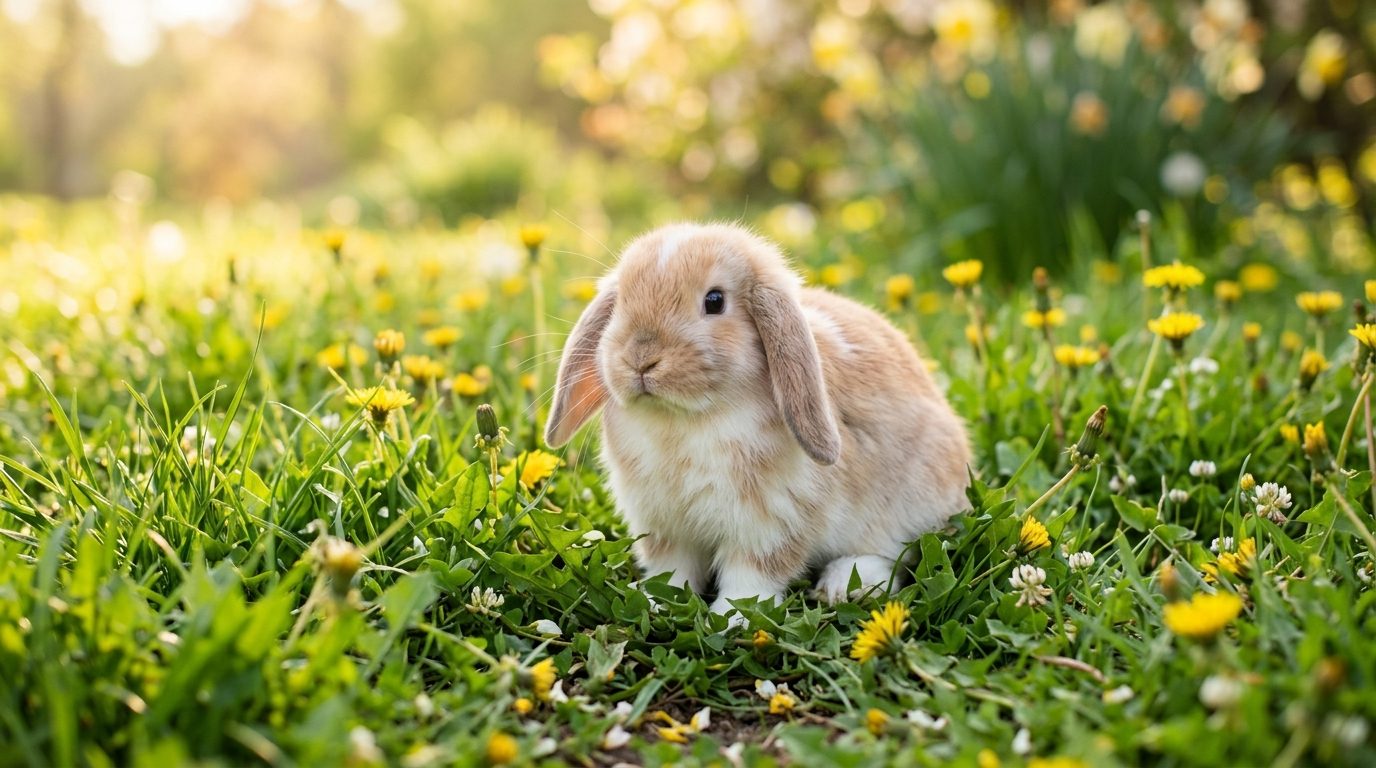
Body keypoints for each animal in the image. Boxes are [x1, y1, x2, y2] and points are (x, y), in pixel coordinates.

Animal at [544, 222, 971, 617]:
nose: (640, 358)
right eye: (620, 302)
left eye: (715, 301)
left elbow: (751, 577)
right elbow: (672, 569)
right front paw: (657, 603)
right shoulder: (665, 525)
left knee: (894, 552)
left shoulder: (770, 523)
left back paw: (843, 585)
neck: (685, 418)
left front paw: (733, 619)